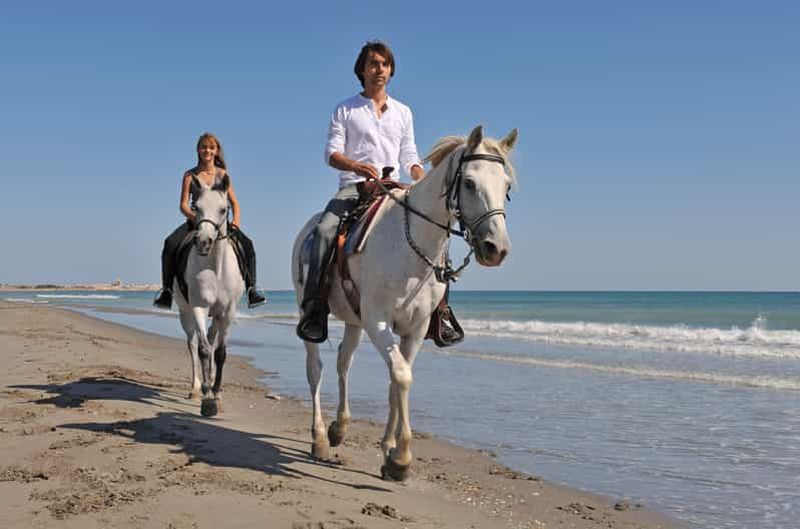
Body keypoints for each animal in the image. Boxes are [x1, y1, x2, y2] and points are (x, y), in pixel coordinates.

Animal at [173, 174, 245, 417]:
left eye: (224, 209)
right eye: (196, 207)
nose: (203, 242)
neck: (216, 268)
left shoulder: (228, 312)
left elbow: (220, 352)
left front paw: (216, 393)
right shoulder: (199, 308)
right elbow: (203, 350)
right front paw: (207, 399)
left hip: (218, 316)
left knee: (212, 341)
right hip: (185, 313)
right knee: (193, 344)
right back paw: (196, 388)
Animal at [291, 125, 518, 480]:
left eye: (506, 186)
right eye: (469, 182)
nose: (496, 249)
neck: (409, 245)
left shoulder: (416, 327)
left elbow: (397, 379)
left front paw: (389, 449)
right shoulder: (378, 321)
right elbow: (401, 376)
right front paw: (401, 458)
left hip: (354, 321)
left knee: (343, 363)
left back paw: (339, 428)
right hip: (310, 311)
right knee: (315, 369)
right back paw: (320, 440)